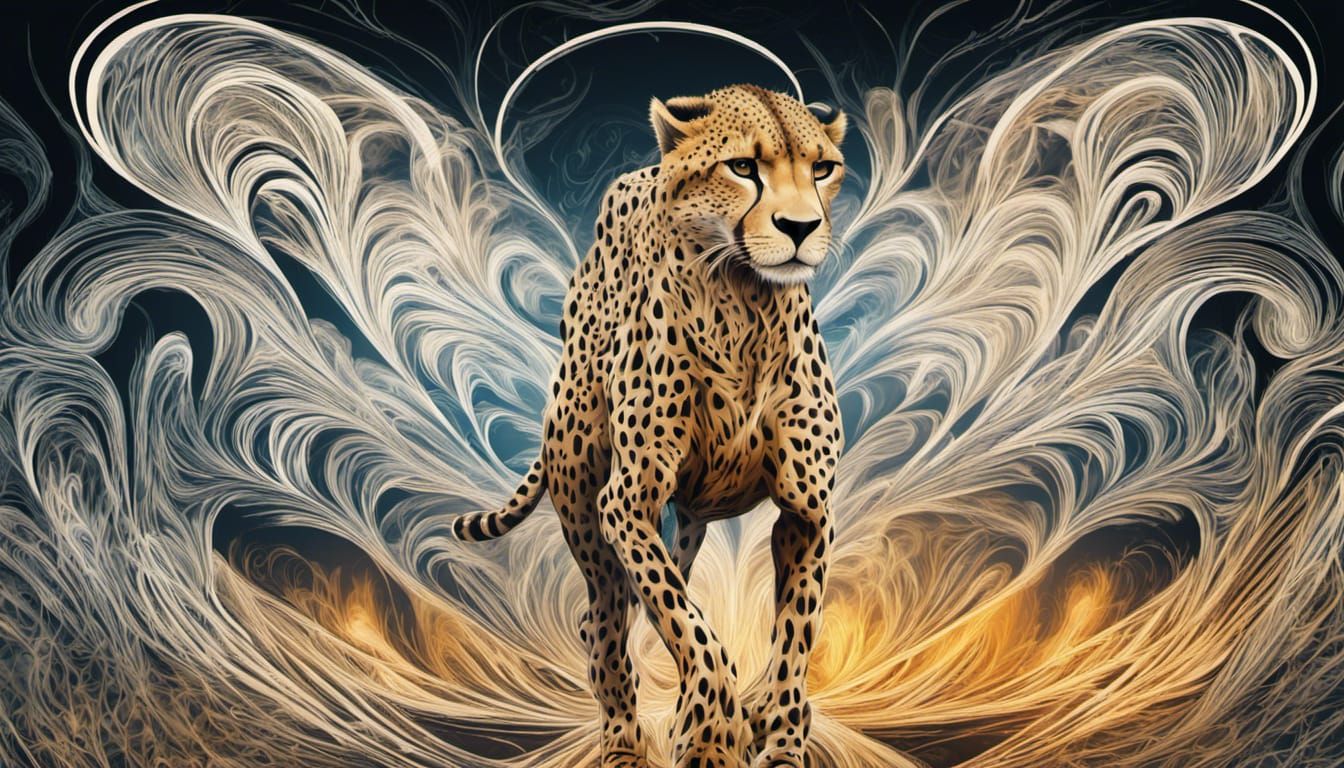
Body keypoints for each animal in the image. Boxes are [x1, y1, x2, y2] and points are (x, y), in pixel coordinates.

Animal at [453, 83, 846, 768]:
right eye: (743, 167)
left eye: (821, 168)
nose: (801, 229)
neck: (744, 303)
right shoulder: (627, 499)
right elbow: (694, 631)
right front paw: (713, 736)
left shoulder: (807, 509)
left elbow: (794, 632)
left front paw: (779, 734)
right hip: (579, 481)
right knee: (605, 616)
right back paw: (622, 739)